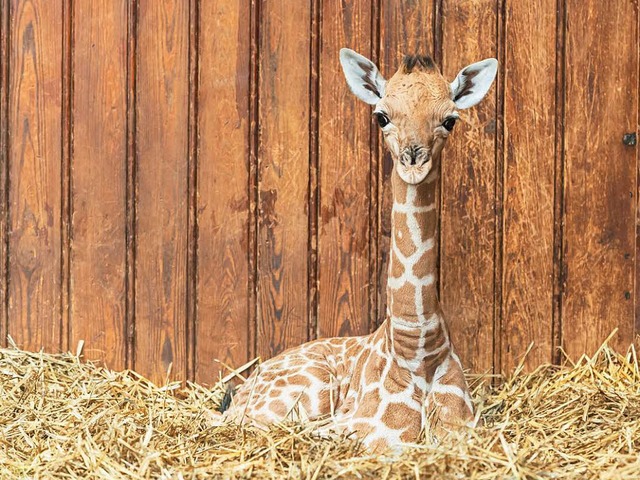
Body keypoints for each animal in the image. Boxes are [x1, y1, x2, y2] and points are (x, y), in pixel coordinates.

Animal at [221, 47, 500, 452]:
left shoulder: (463, 429)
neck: (418, 348)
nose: (413, 161)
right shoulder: (367, 431)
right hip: (301, 395)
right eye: (381, 116)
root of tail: (247, 384)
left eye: (450, 120)